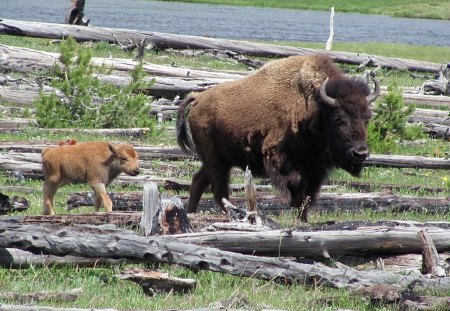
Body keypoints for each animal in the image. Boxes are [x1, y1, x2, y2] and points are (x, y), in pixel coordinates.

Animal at [176, 55, 380, 222]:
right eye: (338, 118)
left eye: (367, 117)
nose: (360, 153)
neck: (314, 106)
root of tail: (197, 98)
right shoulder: (279, 155)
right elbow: (297, 184)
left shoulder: (314, 167)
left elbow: (308, 194)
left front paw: (303, 219)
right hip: (217, 162)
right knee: (218, 191)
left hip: (217, 161)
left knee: (199, 182)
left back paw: (192, 213)